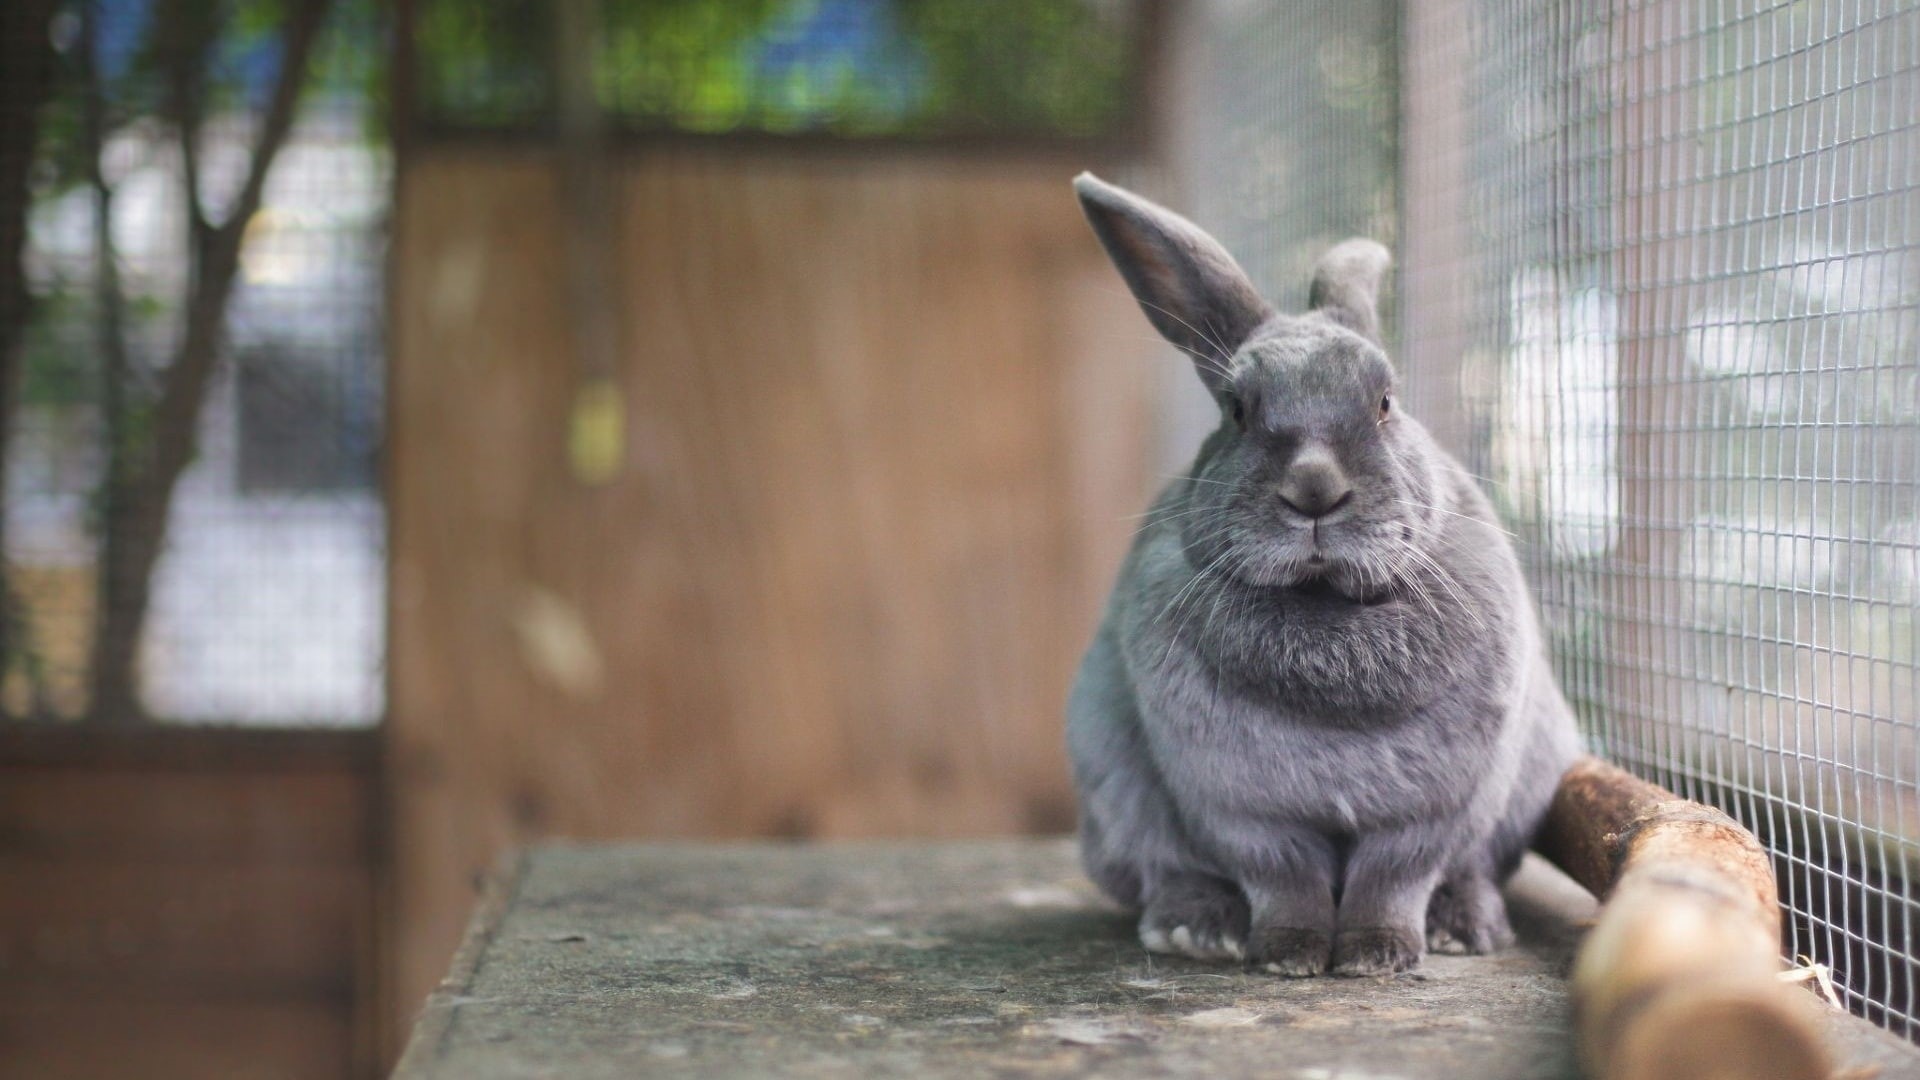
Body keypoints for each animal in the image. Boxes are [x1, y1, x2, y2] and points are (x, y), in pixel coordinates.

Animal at [1065, 172, 1582, 977]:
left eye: (1386, 402)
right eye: (1237, 410)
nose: (1314, 490)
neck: (1324, 604)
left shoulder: (1428, 812)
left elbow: (1392, 880)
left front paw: (1377, 956)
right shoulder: (1243, 809)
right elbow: (1285, 880)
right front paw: (1290, 956)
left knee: (1472, 870)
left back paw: (1466, 928)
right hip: (1113, 791)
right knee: (1165, 867)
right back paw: (1195, 930)